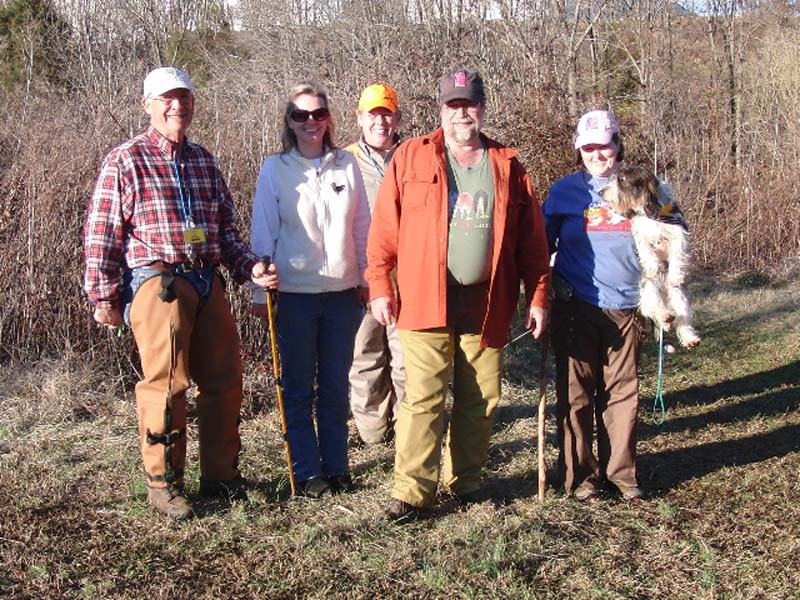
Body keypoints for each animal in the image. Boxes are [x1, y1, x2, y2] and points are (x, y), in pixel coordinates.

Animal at [601, 165, 701, 349]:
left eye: (622, 180)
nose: (601, 191)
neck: (649, 211)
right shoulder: (641, 235)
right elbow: (647, 252)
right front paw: (652, 267)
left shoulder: (679, 233)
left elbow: (677, 255)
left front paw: (676, 275)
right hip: (648, 289)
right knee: (655, 307)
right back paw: (665, 317)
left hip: (679, 295)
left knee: (682, 318)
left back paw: (689, 338)